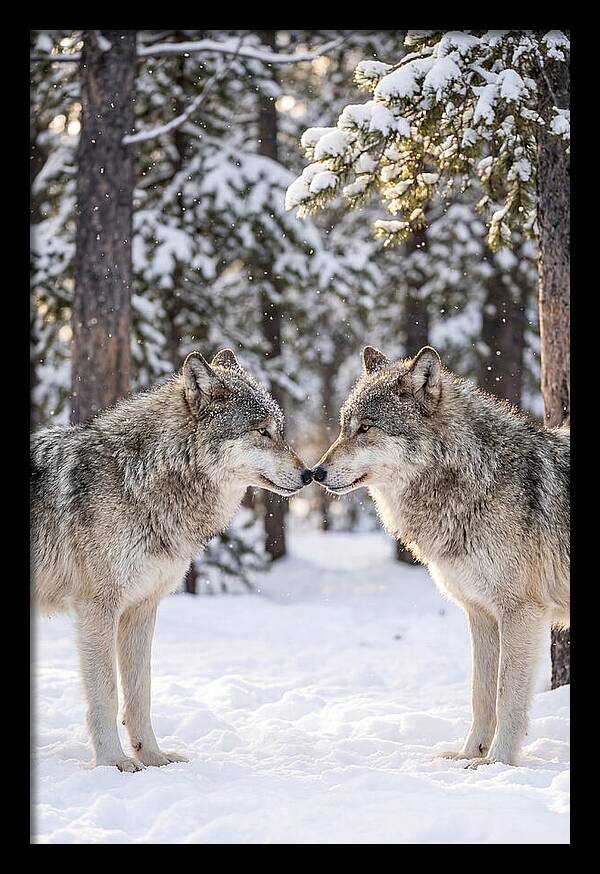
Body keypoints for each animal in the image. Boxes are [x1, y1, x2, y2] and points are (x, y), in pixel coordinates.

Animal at [31, 349, 312, 771]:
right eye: (261, 431)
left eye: (279, 430)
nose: (310, 474)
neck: (139, 480)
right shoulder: (98, 610)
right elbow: (106, 694)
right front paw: (113, 762)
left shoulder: (142, 608)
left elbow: (140, 692)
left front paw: (153, 756)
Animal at [312, 345, 569, 767]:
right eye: (343, 427)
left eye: (366, 428)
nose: (315, 472)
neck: (476, 479)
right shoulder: (480, 613)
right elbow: (481, 695)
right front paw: (469, 754)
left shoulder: (520, 612)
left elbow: (507, 698)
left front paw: (497, 762)